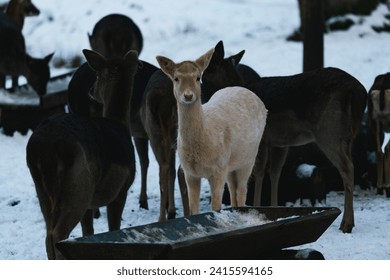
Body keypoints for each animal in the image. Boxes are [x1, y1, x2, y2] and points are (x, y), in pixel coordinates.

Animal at [25, 48, 139, 260]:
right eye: (97, 74)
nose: (91, 91)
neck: (120, 124)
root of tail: (45, 151)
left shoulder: (91, 204)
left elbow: (88, 231)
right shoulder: (121, 188)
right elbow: (114, 228)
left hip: (44, 191)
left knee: (48, 234)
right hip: (78, 184)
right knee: (57, 233)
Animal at [157, 48, 266, 214]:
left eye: (198, 78)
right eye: (176, 78)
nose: (188, 95)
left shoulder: (218, 170)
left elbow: (215, 207)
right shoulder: (190, 173)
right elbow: (193, 209)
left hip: (248, 158)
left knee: (241, 190)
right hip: (231, 163)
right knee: (233, 188)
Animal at [245, 66, 368, 233]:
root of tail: (356, 93)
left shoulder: (261, 140)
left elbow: (258, 172)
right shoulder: (279, 143)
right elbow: (275, 173)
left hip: (329, 131)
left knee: (347, 167)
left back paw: (347, 224)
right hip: (347, 136)